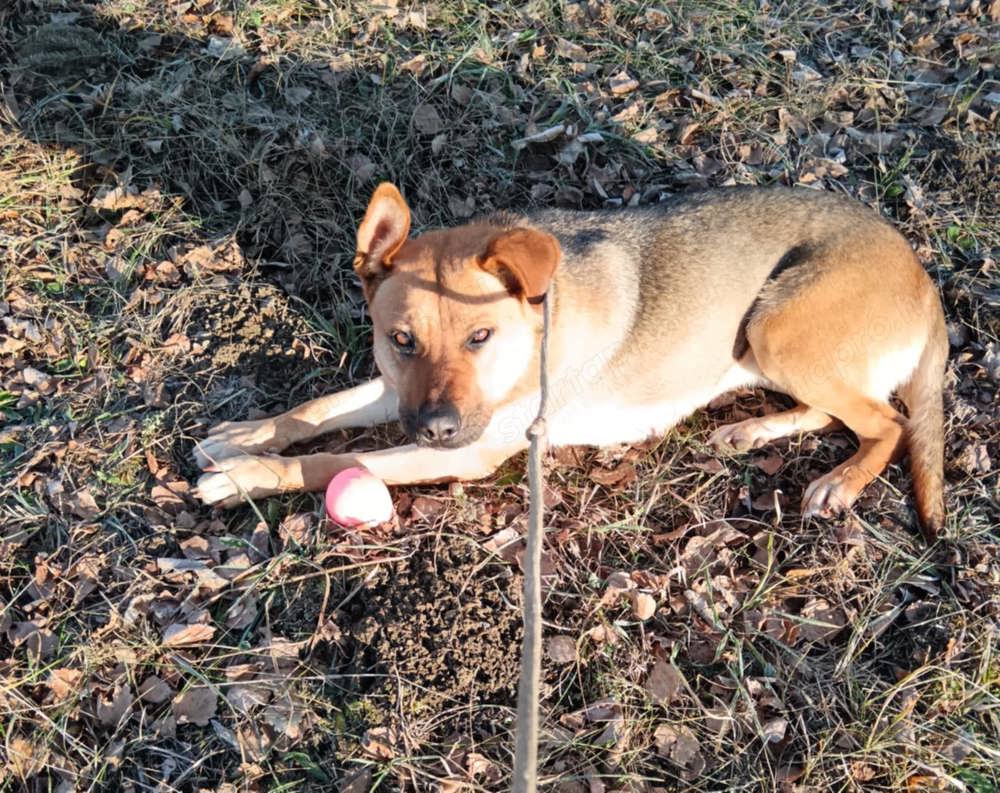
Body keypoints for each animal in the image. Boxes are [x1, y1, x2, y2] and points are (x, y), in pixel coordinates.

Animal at [193, 182, 944, 540]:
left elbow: (336, 457)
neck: (531, 342)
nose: (435, 427)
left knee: (887, 422)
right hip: (768, 347)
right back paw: (752, 429)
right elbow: (318, 408)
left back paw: (841, 481)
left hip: (775, 326)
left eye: (480, 338)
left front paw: (247, 475)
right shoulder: (401, 392)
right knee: (839, 410)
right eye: (401, 339)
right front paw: (246, 435)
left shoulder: (470, 450)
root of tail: (924, 280)